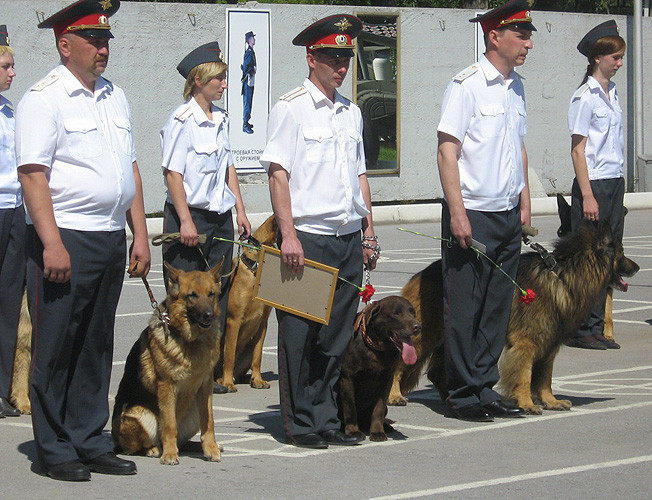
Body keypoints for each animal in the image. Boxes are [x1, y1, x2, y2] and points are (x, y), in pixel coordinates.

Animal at [111, 262, 223, 464]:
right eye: (192, 295)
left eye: (211, 294)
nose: (208, 316)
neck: (191, 341)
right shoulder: (166, 386)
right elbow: (170, 424)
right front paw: (170, 454)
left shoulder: (205, 386)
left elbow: (208, 422)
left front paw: (211, 448)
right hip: (140, 415)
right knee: (139, 446)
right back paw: (156, 449)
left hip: (194, 412)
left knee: (184, 441)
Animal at [213, 214, 276, 390]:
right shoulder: (234, 320)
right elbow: (229, 355)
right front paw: (227, 382)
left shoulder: (263, 323)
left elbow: (258, 356)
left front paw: (258, 379)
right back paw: (222, 380)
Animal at [338, 296, 420, 442]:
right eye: (396, 313)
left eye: (412, 312)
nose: (417, 327)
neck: (376, 349)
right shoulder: (347, 378)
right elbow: (350, 408)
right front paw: (353, 432)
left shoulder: (386, 380)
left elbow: (378, 410)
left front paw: (377, 432)